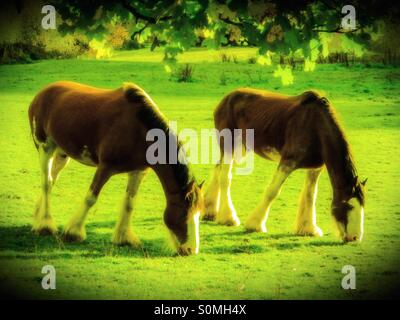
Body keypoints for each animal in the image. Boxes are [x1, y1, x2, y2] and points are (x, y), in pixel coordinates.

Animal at [28, 80, 203, 255]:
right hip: (45, 147)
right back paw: (45, 224)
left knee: (51, 180)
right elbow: (90, 198)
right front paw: (74, 232)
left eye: (199, 213)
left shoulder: (138, 172)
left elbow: (129, 203)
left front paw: (123, 237)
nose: (191, 249)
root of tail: (42, 92)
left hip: (62, 154)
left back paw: (38, 214)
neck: (139, 130)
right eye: (184, 213)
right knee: (46, 183)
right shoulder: (105, 167)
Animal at [203, 87, 366, 242]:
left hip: (240, 148)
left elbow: (310, 195)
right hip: (229, 145)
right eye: (350, 206)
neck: (315, 126)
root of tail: (227, 98)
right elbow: (272, 191)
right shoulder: (287, 162)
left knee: (217, 169)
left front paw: (308, 228)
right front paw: (255, 224)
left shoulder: (315, 168)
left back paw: (209, 210)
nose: (355, 238)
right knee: (225, 178)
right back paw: (228, 218)